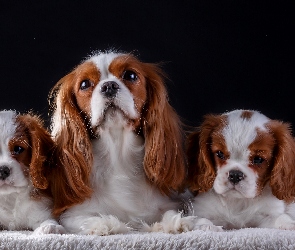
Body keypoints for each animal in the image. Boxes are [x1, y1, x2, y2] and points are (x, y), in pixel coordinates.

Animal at [48, 50, 220, 234]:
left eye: (130, 75)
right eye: (85, 84)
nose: (108, 86)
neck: (118, 153)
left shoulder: (171, 202)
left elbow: (174, 212)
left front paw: (185, 222)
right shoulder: (72, 214)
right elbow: (87, 219)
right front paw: (106, 224)